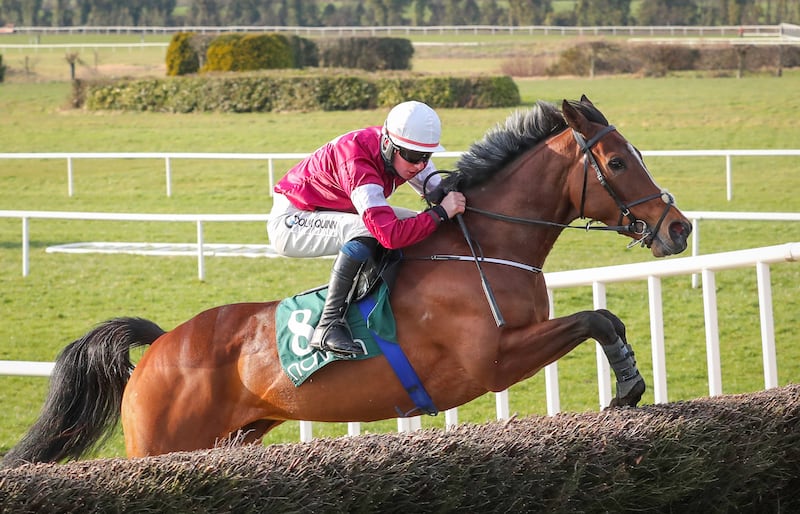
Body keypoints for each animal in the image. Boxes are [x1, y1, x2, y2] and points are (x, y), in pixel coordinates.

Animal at [3, 96, 692, 464]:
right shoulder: (492, 360)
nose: (679, 228)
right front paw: (628, 386)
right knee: (359, 234)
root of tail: (162, 345)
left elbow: (605, 317)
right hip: (159, 447)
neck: (485, 248)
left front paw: (629, 381)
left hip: (233, 437)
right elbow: (593, 316)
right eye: (618, 162)